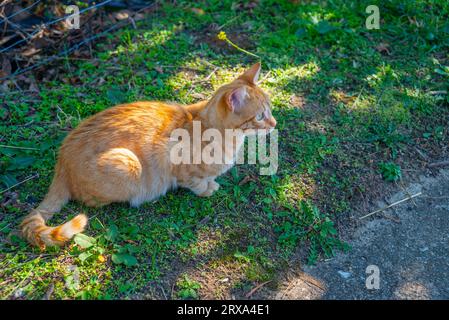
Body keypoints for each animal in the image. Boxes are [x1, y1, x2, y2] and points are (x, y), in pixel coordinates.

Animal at [21, 62, 276, 248]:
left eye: (270, 110)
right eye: (260, 116)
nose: (274, 123)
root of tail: (62, 160)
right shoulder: (177, 164)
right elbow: (195, 182)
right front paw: (207, 188)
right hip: (127, 163)